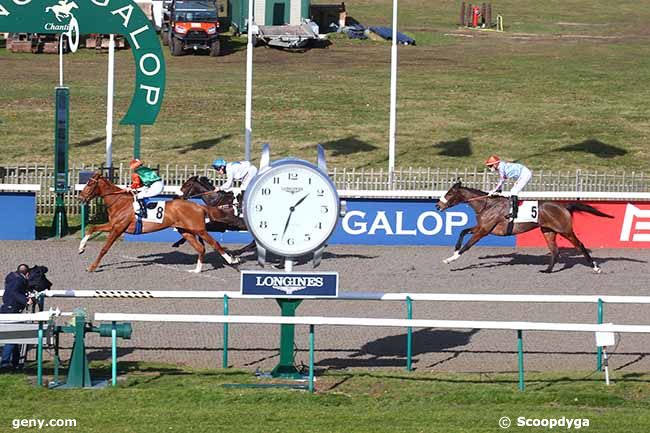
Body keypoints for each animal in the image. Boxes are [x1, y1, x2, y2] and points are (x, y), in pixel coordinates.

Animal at [76, 171, 238, 270]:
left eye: (90, 183)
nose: (80, 197)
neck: (119, 201)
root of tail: (199, 205)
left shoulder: (118, 228)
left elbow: (104, 248)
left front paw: (92, 267)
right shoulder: (113, 225)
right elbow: (92, 228)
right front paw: (81, 248)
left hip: (199, 229)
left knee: (214, 243)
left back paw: (232, 260)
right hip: (185, 231)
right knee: (200, 248)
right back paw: (196, 270)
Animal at [436, 181, 612, 272]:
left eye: (449, 193)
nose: (438, 206)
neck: (487, 204)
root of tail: (564, 206)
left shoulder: (484, 231)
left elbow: (467, 245)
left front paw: (451, 259)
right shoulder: (481, 227)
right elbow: (462, 231)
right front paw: (454, 250)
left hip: (565, 230)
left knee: (580, 245)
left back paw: (595, 267)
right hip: (548, 231)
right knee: (555, 251)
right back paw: (547, 270)